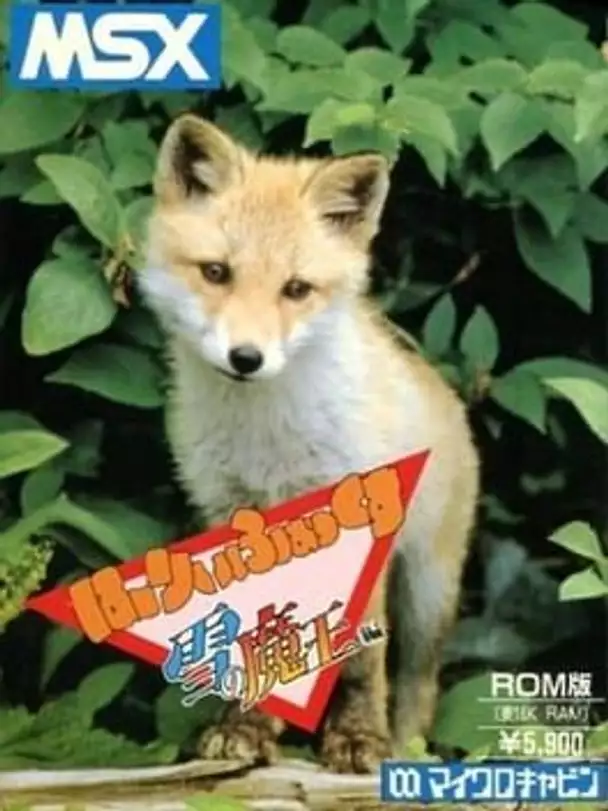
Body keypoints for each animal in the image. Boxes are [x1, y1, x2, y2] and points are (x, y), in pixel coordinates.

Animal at [139, 113, 480, 774]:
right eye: (216, 272)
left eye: (295, 289)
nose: (247, 358)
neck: (268, 436)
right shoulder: (236, 522)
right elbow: (255, 646)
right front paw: (245, 730)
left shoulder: (363, 522)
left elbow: (362, 659)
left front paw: (358, 740)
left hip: (429, 592)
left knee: (418, 685)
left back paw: (405, 750)